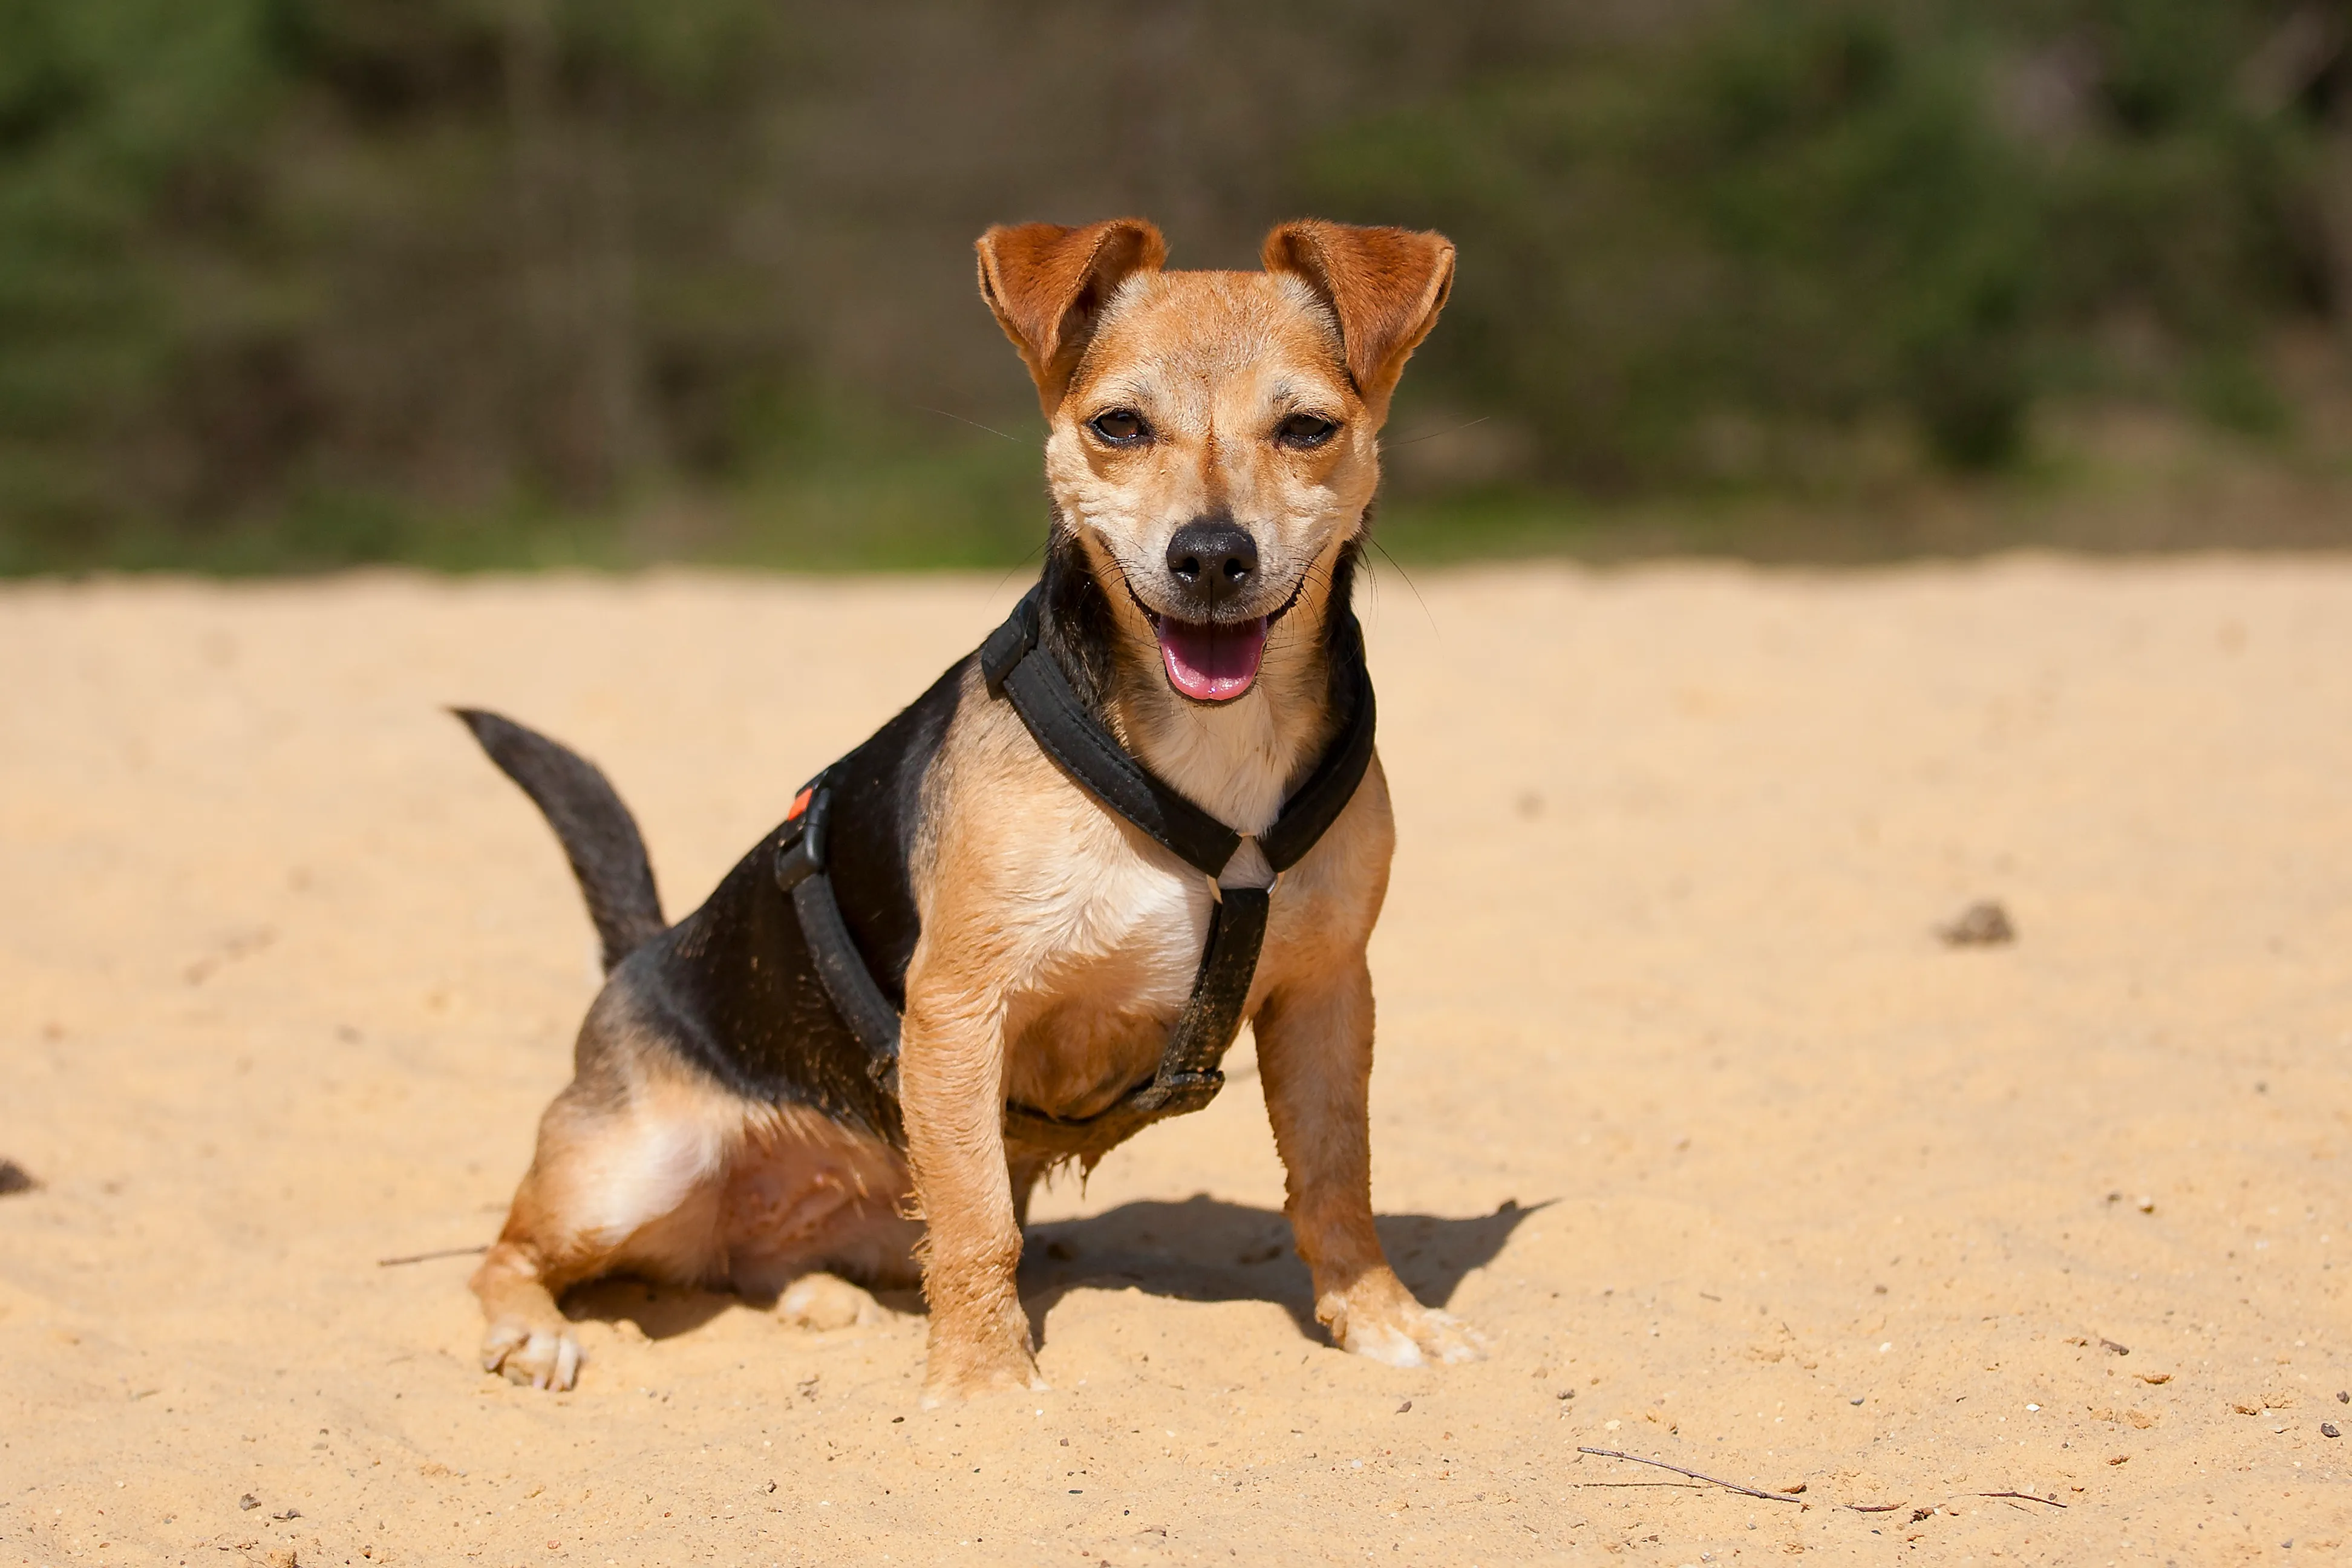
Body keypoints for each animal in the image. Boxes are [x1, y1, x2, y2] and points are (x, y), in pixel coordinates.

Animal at [461, 215, 1477, 1401]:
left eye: (1309, 428)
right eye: (1118, 426)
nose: (1212, 556)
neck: (1211, 754)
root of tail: (642, 951)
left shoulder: (1326, 994)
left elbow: (1335, 1177)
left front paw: (1378, 1315)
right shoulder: (958, 1009)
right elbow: (978, 1221)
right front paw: (986, 1385)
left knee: (757, 1264)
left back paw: (817, 1298)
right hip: (626, 1174)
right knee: (508, 1253)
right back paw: (533, 1331)